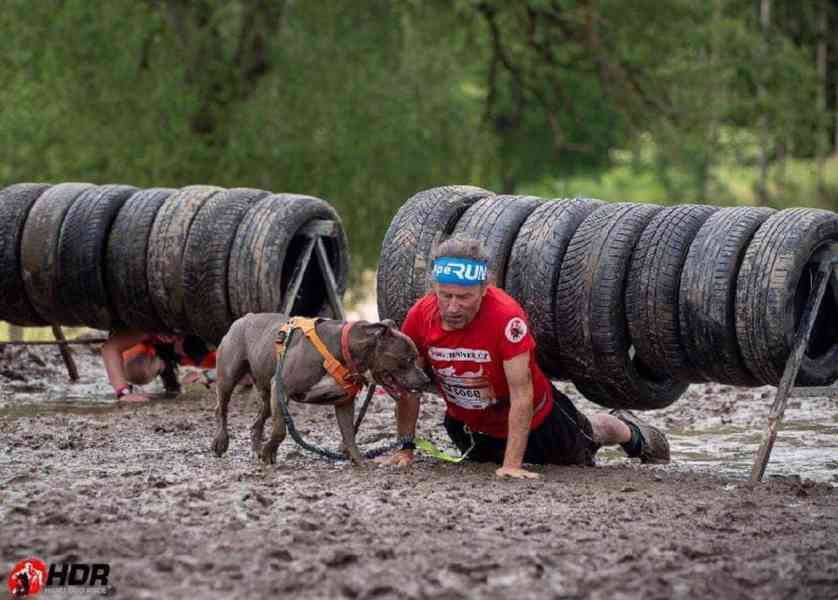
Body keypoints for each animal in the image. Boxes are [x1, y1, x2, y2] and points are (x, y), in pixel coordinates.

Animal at [213, 314, 430, 464]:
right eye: (408, 359)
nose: (426, 379)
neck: (345, 350)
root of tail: (244, 318)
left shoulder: (344, 403)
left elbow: (349, 435)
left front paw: (360, 463)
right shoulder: (282, 387)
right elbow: (280, 429)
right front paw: (269, 452)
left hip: (268, 396)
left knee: (257, 421)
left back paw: (257, 450)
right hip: (229, 377)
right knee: (221, 408)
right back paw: (221, 442)